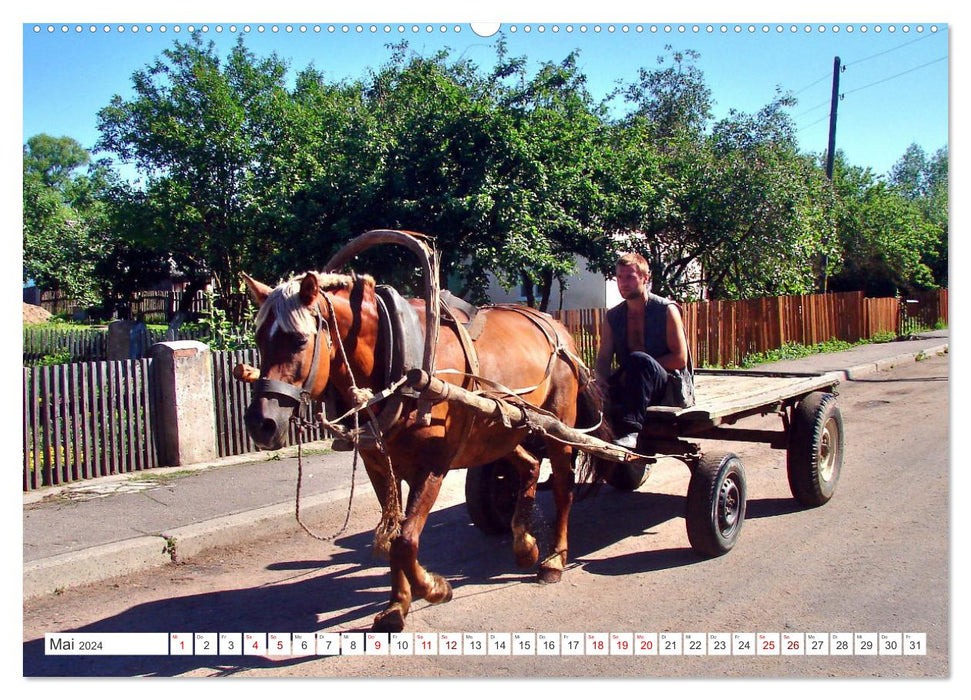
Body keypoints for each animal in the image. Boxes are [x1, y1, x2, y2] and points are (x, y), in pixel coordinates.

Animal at [238, 266, 612, 632]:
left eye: (300, 340)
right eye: (258, 340)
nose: (261, 423)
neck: (401, 364)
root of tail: (558, 328)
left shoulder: (432, 466)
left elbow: (405, 541)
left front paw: (434, 588)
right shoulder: (379, 466)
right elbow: (392, 535)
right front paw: (396, 607)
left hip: (557, 429)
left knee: (563, 488)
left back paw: (554, 560)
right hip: (501, 428)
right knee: (530, 465)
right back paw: (524, 545)